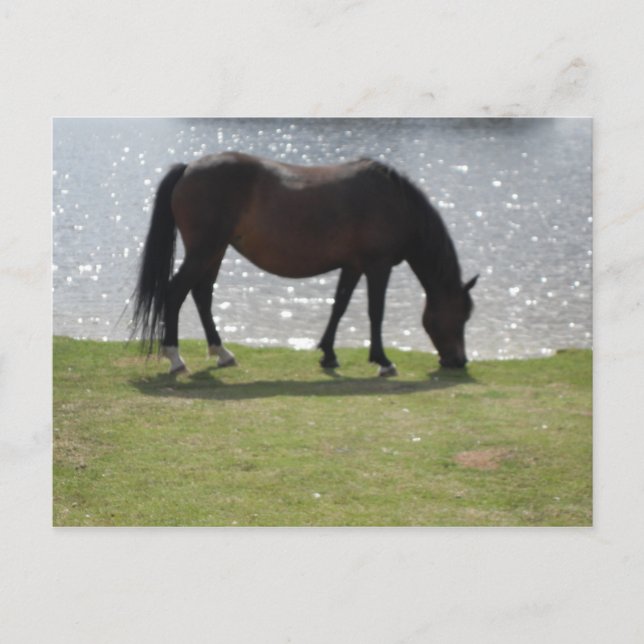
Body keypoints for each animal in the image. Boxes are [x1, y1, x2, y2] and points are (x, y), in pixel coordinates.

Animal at [131, 152, 478, 376]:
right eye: (461, 314)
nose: (458, 361)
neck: (394, 201)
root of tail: (188, 168)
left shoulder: (353, 266)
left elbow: (339, 306)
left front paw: (329, 354)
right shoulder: (377, 266)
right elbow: (375, 312)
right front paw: (382, 361)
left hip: (214, 253)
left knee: (201, 295)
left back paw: (222, 353)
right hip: (204, 252)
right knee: (175, 293)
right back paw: (175, 358)